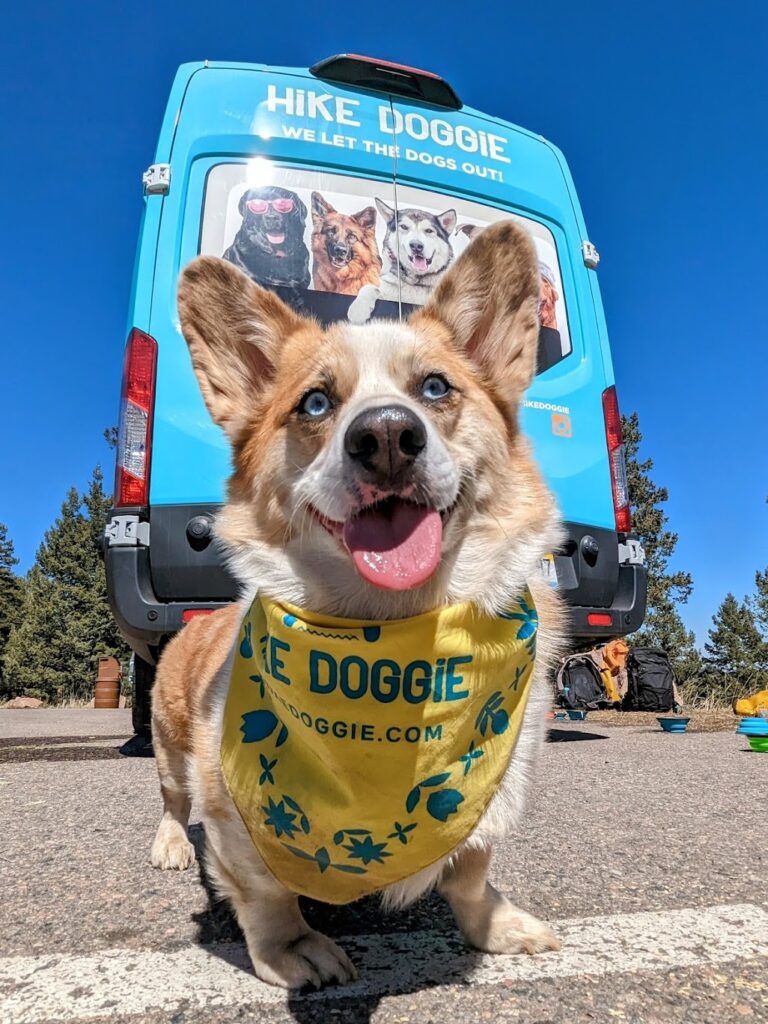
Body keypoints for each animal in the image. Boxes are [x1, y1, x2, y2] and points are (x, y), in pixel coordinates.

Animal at [150, 220, 569, 987]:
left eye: (435, 388)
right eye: (316, 403)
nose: (387, 436)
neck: (391, 631)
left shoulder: (490, 791)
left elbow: (471, 871)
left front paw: (496, 926)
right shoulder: (230, 811)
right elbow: (265, 893)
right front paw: (293, 950)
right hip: (169, 742)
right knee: (171, 800)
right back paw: (168, 843)